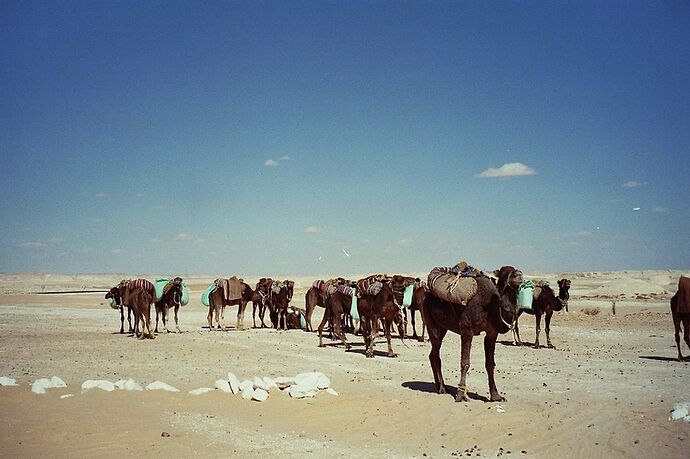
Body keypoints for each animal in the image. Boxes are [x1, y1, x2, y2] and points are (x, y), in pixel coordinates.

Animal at [420, 266, 520, 402]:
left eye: (515, 270)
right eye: (505, 274)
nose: (519, 275)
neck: (490, 307)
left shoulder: (492, 333)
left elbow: (490, 364)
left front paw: (496, 396)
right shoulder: (467, 329)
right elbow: (465, 363)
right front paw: (460, 395)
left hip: (443, 328)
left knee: (432, 354)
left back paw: (441, 386)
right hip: (431, 323)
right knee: (435, 353)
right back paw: (442, 389)